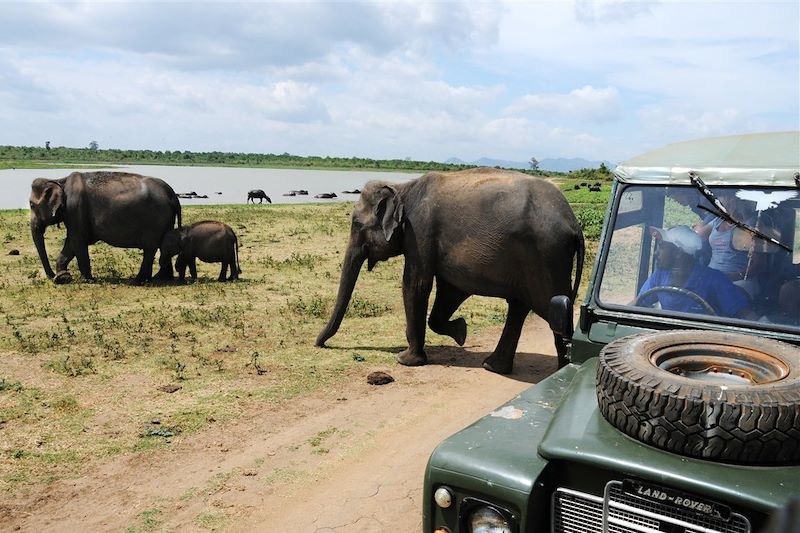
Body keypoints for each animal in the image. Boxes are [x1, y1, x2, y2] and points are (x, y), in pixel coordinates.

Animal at [29, 172, 181, 284]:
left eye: (31, 205)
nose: (51, 277)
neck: (59, 180)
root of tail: (172, 194)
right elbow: (73, 243)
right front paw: (63, 277)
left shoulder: (75, 209)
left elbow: (76, 240)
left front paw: (84, 280)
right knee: (163, 246)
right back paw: (159, 278)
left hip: (155, 220)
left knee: (150, 248)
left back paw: (138, 281)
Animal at [316, 168, 584, 372]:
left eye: (356, 224)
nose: (319, 344)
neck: (403, 188)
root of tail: (574, 224)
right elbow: (449, 291)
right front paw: (461, 332)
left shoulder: (420, 232)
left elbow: (415, 284)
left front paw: (405, 360)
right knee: (519, 307)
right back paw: (493, 367)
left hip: (546, 259)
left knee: (553, 311)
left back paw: (561, 371)